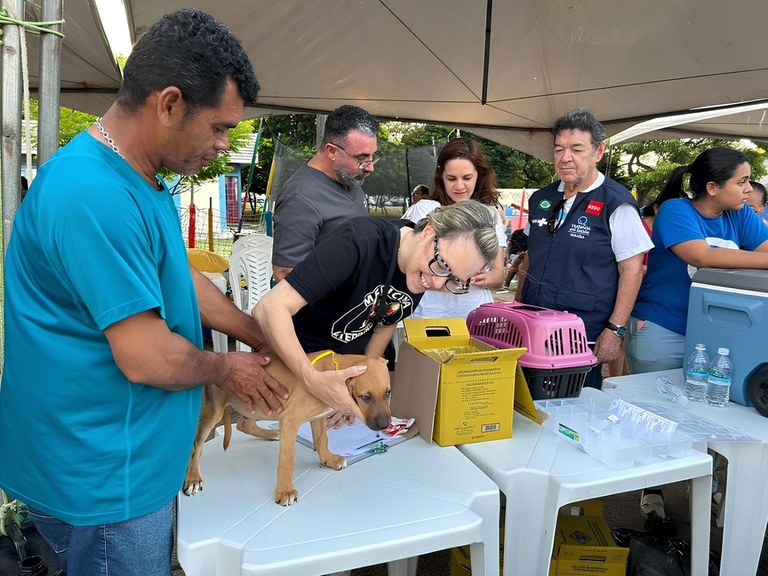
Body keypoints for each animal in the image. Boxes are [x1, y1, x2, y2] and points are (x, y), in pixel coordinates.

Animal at [184, 352, 392, 504]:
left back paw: (270, 433)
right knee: (196, 446)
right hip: (214, 410)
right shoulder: (290, 420)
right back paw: (193, 478)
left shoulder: (318, 416)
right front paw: (284, 491)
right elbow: (287, 460)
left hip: (254, 404)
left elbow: (322, 440)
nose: (385, 425)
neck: (334, 370)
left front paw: (329, 460)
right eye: (366, 397)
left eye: (388, 393)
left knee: (244, 424)